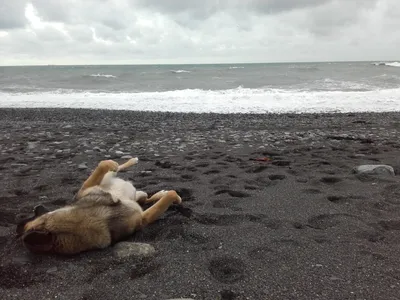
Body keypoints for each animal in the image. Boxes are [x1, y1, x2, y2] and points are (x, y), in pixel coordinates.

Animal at [16, 158, 182, 254]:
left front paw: (112, 163)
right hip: (138, 196)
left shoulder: (86, 188)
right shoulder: (142, 219)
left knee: (118, 170)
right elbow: (169, 195)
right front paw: (176, 197)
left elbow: (101, 165)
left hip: (117, 182)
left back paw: (130, 161)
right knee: (147, 198)